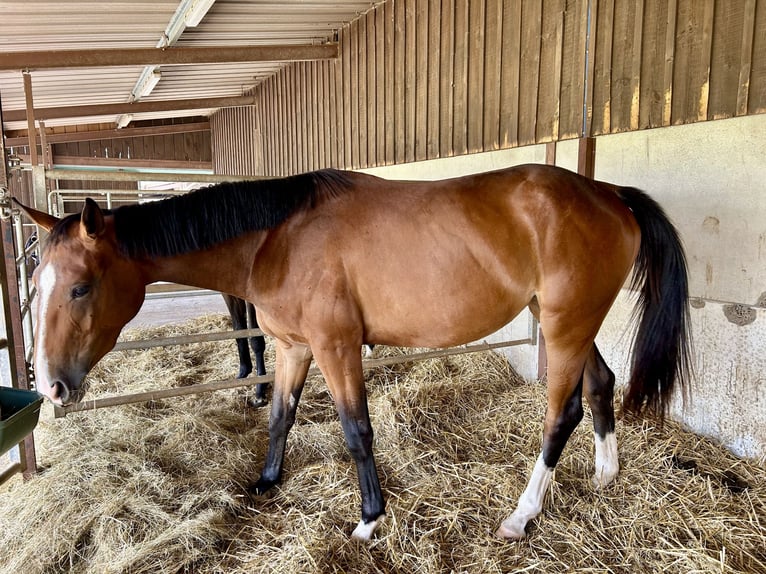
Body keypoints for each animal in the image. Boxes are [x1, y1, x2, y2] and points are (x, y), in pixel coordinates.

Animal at [15, 163, 692, 541]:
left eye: (80, 286)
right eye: (38, 284)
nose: (50, 386)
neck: (276, 237)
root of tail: (609, 194)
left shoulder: (335, 347)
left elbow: (355, 429)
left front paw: (369, 518)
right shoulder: (292, 348)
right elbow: (280, 417)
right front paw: (266, 483)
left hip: (565, 325)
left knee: (561, 414)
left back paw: (522, 516)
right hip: (567, 324)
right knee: (600, 385)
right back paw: (605, 476)